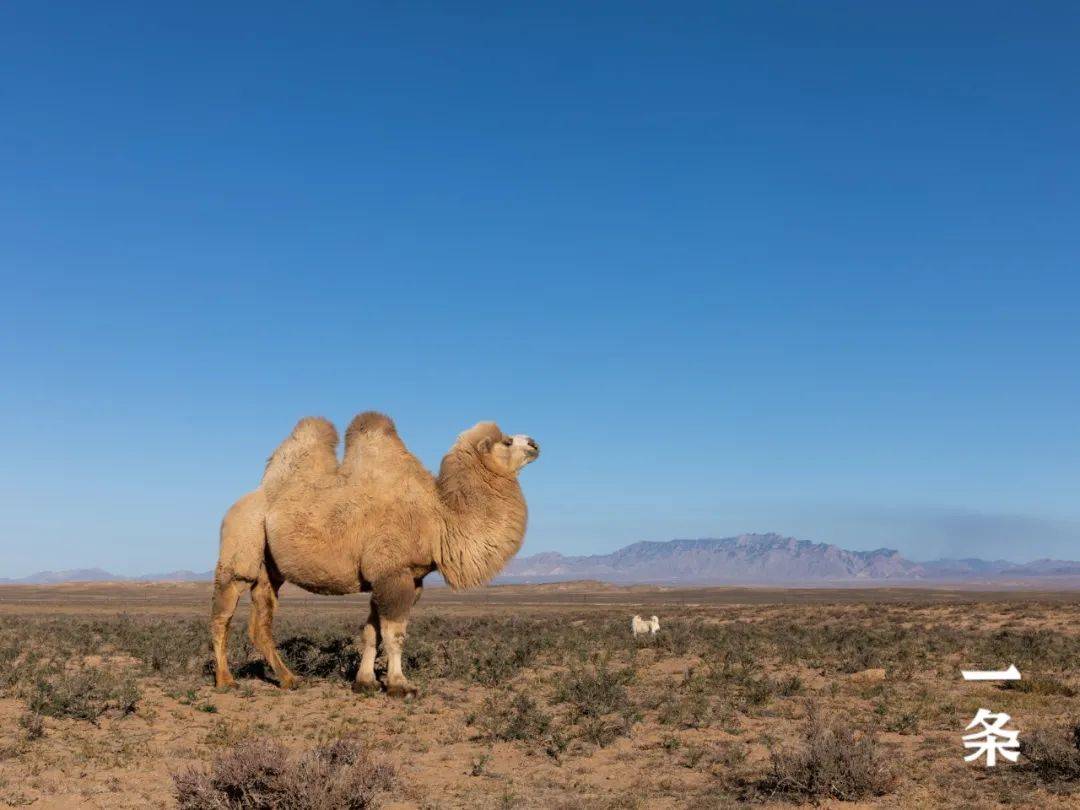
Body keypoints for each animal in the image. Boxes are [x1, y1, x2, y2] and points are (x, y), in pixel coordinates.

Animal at [208, 412, 537, 699]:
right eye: (507, 441)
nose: (534, 443)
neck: (438, 519)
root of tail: (239, 504)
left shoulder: (407, 579)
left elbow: (371, 632)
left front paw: (364, 682)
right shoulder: (392, 574)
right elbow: (394, 635)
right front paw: (400, 686)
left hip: (270, 568)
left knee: (261, 621)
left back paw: (290, 679)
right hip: (241, 543)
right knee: (223, 613)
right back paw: (226, 681)